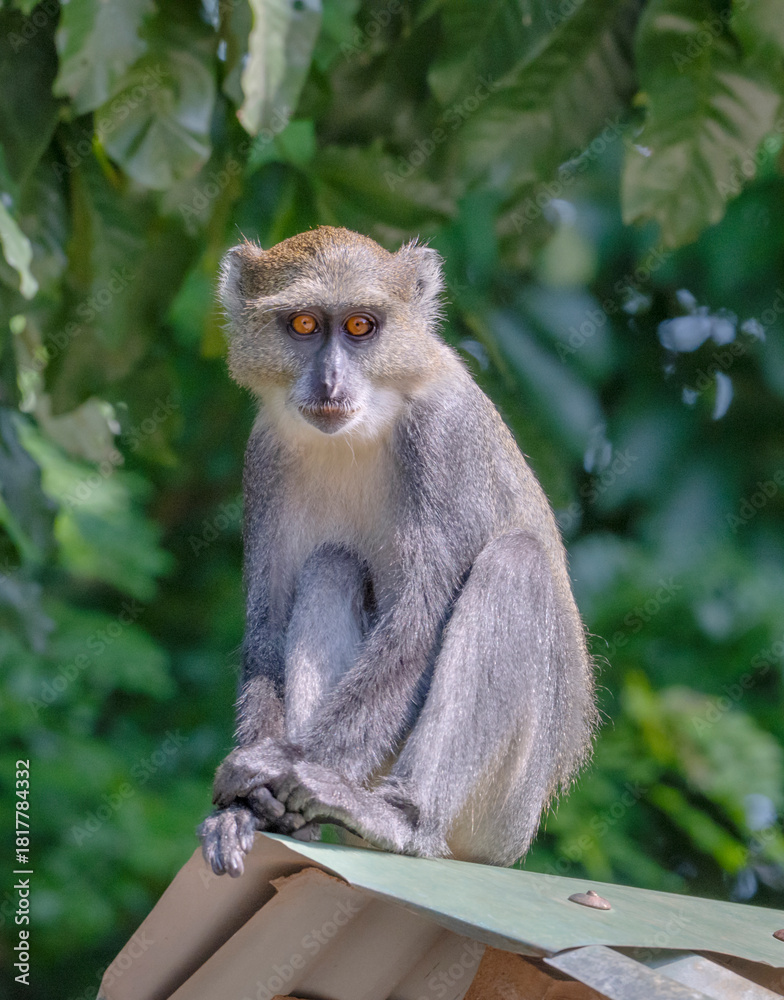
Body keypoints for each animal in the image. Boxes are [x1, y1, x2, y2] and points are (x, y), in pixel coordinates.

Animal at [197, 225, 597, 877]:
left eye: (361, 326)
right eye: (304, 324)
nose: (330, 382)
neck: (366, 427)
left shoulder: (441, 437)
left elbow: (419, 622)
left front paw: (278, 769)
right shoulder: (264, 456)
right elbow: (267, 626)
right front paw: (243, 810)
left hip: (501, 812)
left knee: (516, 563)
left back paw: (400, 817)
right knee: (331, 564)